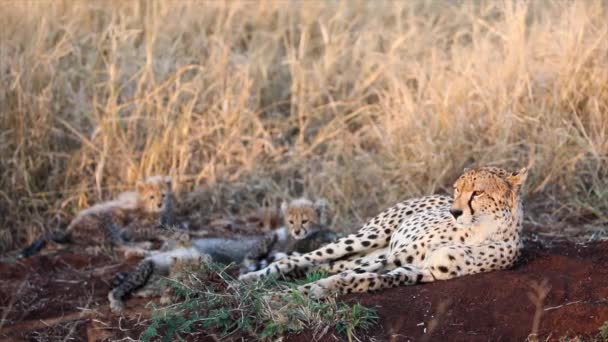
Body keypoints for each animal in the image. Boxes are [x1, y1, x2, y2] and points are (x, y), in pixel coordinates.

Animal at [239, 166, 528, 296]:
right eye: (457, 189)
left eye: (477, 192)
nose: (454, 211)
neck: (478, 230)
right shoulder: (400, 255)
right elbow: (353, 274)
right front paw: (291, 293)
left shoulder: (426, 270)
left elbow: (365, 278)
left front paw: (322, 288)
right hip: (369, 238)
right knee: (298, 259)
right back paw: (253, 278)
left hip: (369, 252)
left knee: (326, 265)